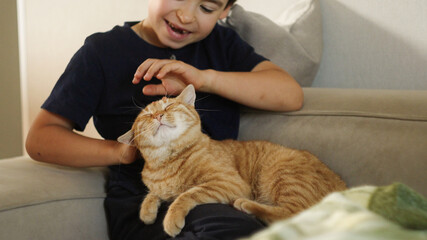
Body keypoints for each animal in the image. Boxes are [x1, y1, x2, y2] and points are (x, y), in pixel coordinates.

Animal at [118, 84, 346, 236]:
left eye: (168, 106)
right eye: (146, 116)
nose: (157, 116)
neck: (168, 160)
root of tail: (342, 186)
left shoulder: (228, 183)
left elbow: (186, 194)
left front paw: (171, 217)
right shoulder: (159, 186)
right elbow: (153, 194)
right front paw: (147, 211)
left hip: (284, 176)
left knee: (290, 214)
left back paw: (246, 204)